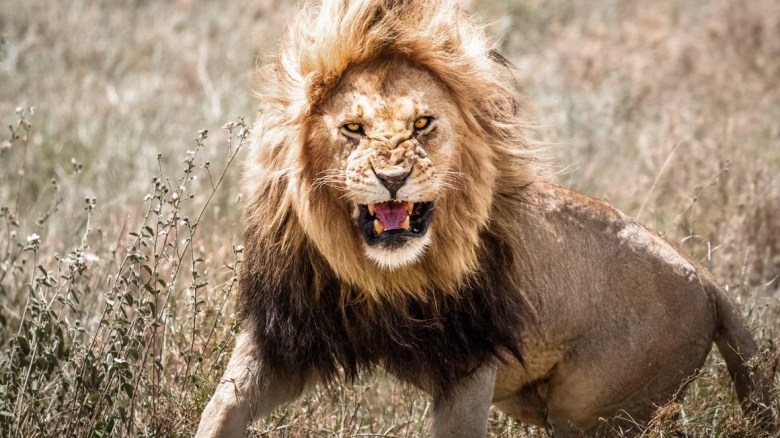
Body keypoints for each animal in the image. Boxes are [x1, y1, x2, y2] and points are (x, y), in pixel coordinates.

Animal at [197, 0, 772, 438]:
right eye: (353, 128)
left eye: (423, 123)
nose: (392, 178)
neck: (383, 275)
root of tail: (706, 279)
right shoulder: (286, 333)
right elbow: (221, 408)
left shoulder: (471, 357)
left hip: (602, 409)